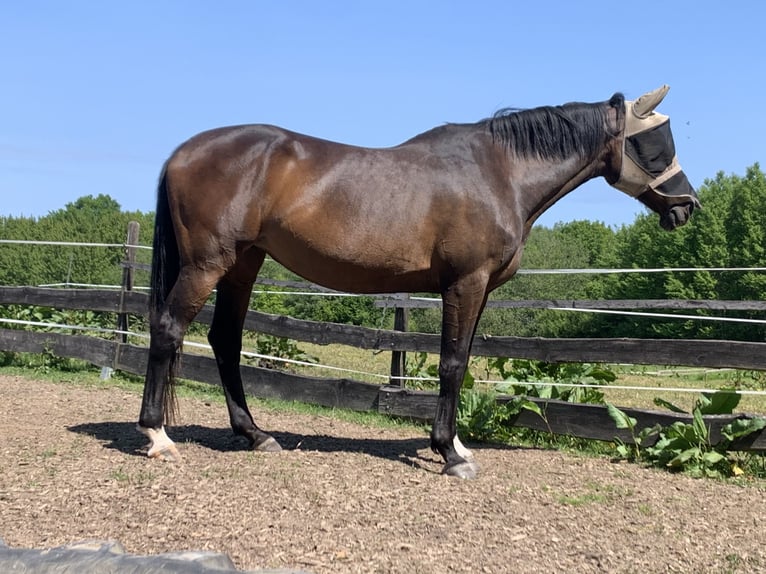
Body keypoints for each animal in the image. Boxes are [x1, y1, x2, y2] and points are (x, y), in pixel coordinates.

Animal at [138, 86, 704, 482]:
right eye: (653, 143)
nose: (687, 206)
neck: (498, 173)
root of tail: (182, 153)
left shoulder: (479, 289)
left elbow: (463, 360)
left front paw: (456, 446)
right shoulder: (464, 284)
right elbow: (451, 365)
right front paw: (450, 453)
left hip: (243, 264)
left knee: (224, 341)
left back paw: (255, 435)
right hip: (208, 264)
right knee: (168, 329)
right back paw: (157, 435)